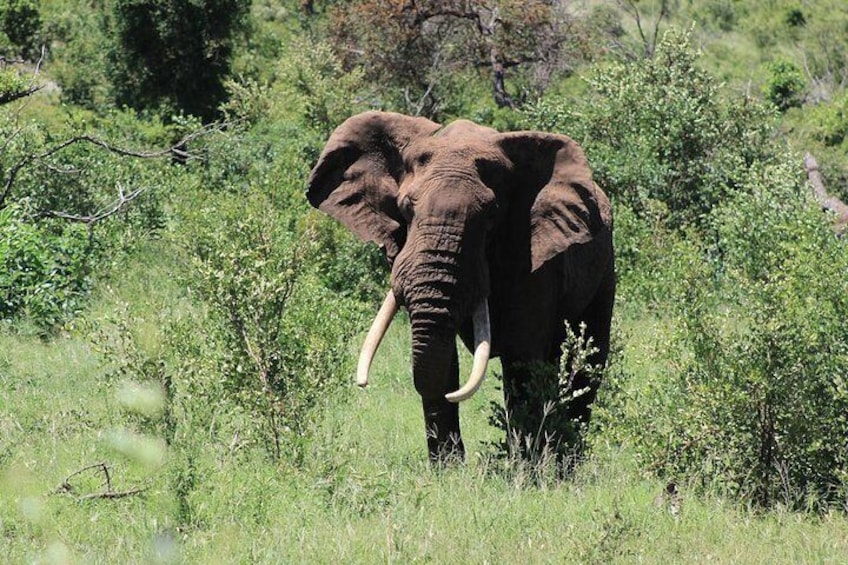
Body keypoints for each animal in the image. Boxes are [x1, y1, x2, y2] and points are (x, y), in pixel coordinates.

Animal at [308, 110, 612, 462]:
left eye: (490, 217)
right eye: (406, 209)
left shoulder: (534, 257)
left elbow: (522, 360)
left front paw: (526, 468)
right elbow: (441, 356)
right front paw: (448, 468)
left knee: (586, 362)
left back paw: (566, 460)